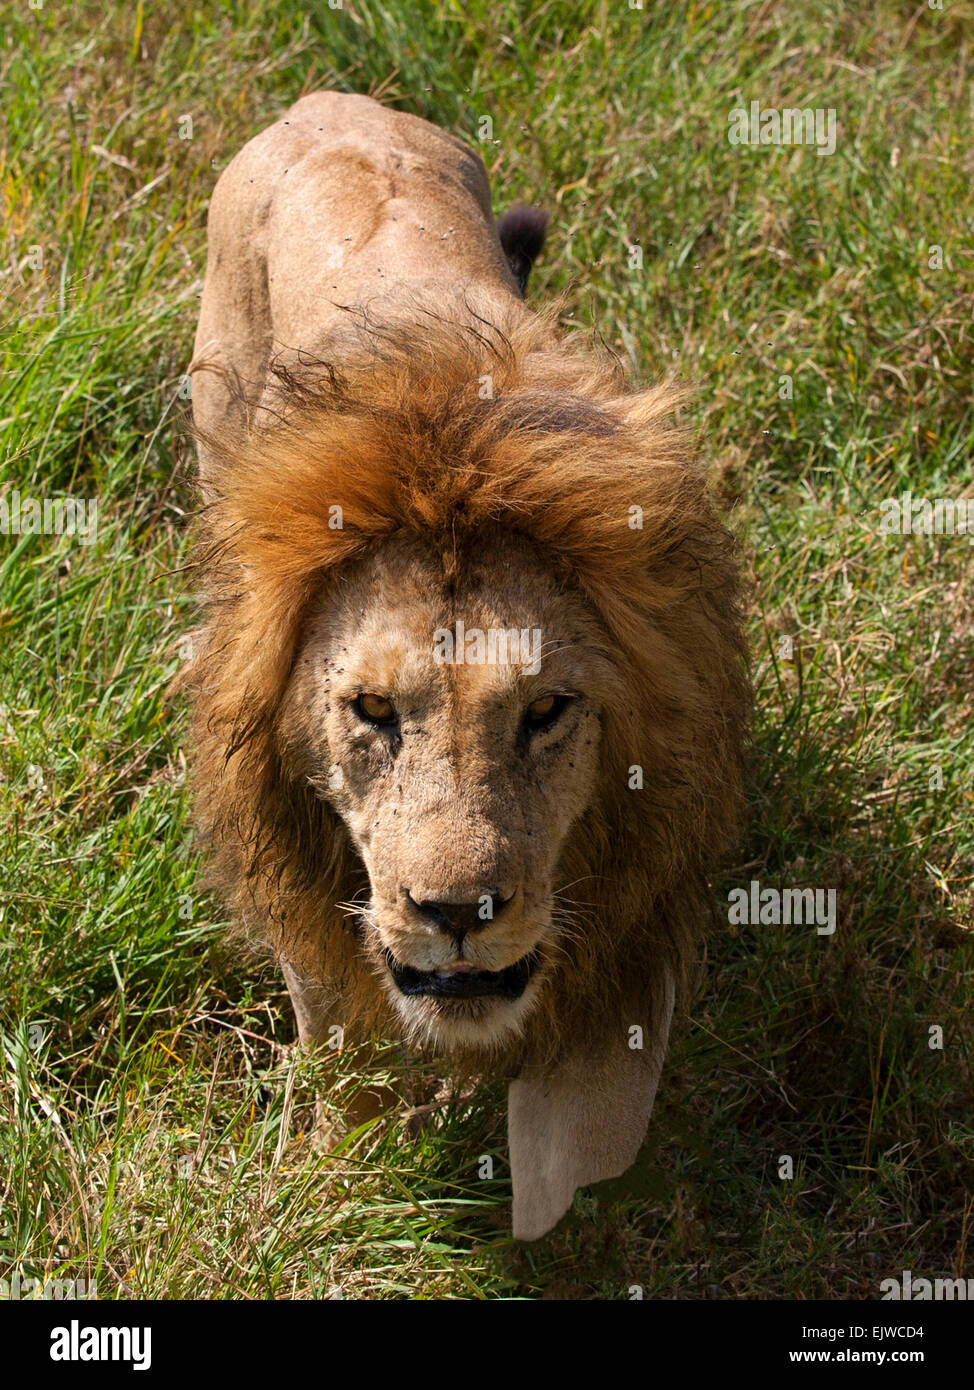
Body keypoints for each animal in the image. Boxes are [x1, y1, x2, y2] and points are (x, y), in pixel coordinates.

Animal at [184, 91, 749, 1240]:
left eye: (545, 711)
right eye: (370, 710)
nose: (456, 916)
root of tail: (325, 100)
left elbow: (593, 1119)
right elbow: (344, 1062)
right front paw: (339, 1189)